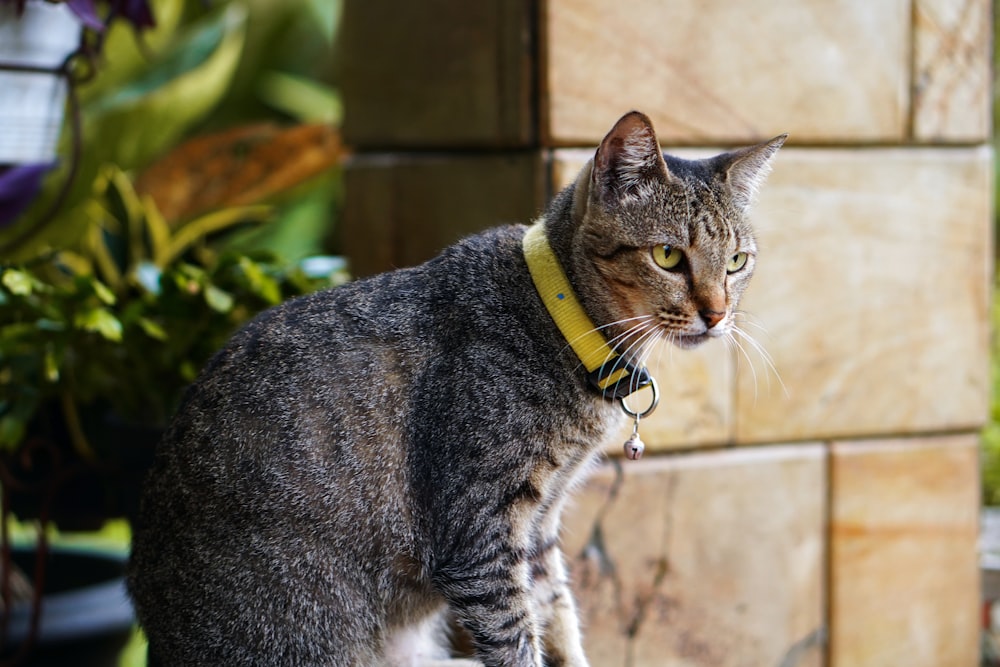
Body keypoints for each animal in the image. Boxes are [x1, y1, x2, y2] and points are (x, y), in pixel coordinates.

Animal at [127, 111, 780, 667]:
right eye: (668, 256)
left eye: (737, 262)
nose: (717, 314)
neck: (562, 327)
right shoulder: (480, 534)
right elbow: (517, 638)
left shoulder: (539, 528)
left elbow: (558, 615)